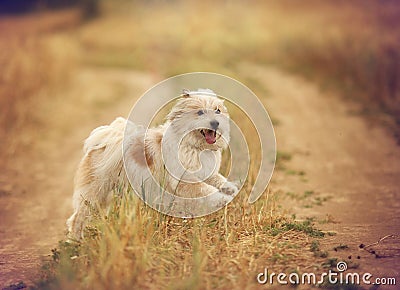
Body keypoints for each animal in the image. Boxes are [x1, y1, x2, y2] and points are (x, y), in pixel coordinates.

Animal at [67, 89, 239, 239]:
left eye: (218, 111)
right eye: (200, 112)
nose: (215, 123)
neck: (195, 146)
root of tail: (104, 141)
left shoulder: (205, 174)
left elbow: (218, 180)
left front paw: (230, 189)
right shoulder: (185, 182)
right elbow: (208, 190)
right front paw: (223, 198)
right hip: (95, 191)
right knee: (77, 218)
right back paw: (77, 241)